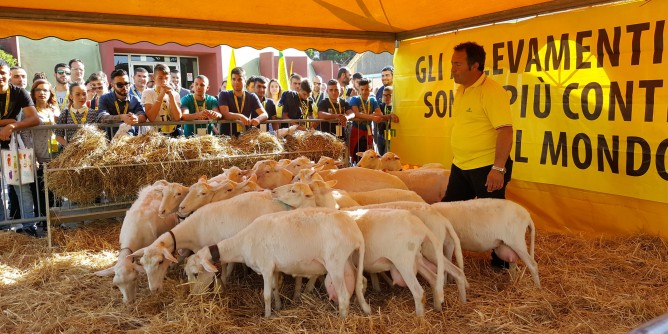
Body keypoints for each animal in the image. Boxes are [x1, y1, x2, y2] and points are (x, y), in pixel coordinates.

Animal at [190, 209, 374, 318]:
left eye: (195, 273)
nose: (192, 296)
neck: (242, 244)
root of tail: (356, 232)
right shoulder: (273, 268)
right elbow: (274, 289)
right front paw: (278, 306)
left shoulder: (265, 267)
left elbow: (266, 295)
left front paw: (267, 316)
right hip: (347, 260)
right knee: (360, 282)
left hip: (335, 262)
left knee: (343, 295)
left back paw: (342, 319)